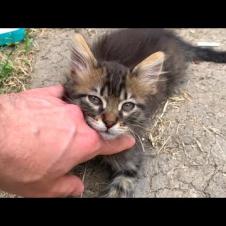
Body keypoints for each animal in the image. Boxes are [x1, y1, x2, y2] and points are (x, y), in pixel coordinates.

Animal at [63, 28, 226, 198]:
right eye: (94, 99)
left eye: (127, 106)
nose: (109, 123)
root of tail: (170, 35)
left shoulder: (130, 164)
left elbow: (118, 189)